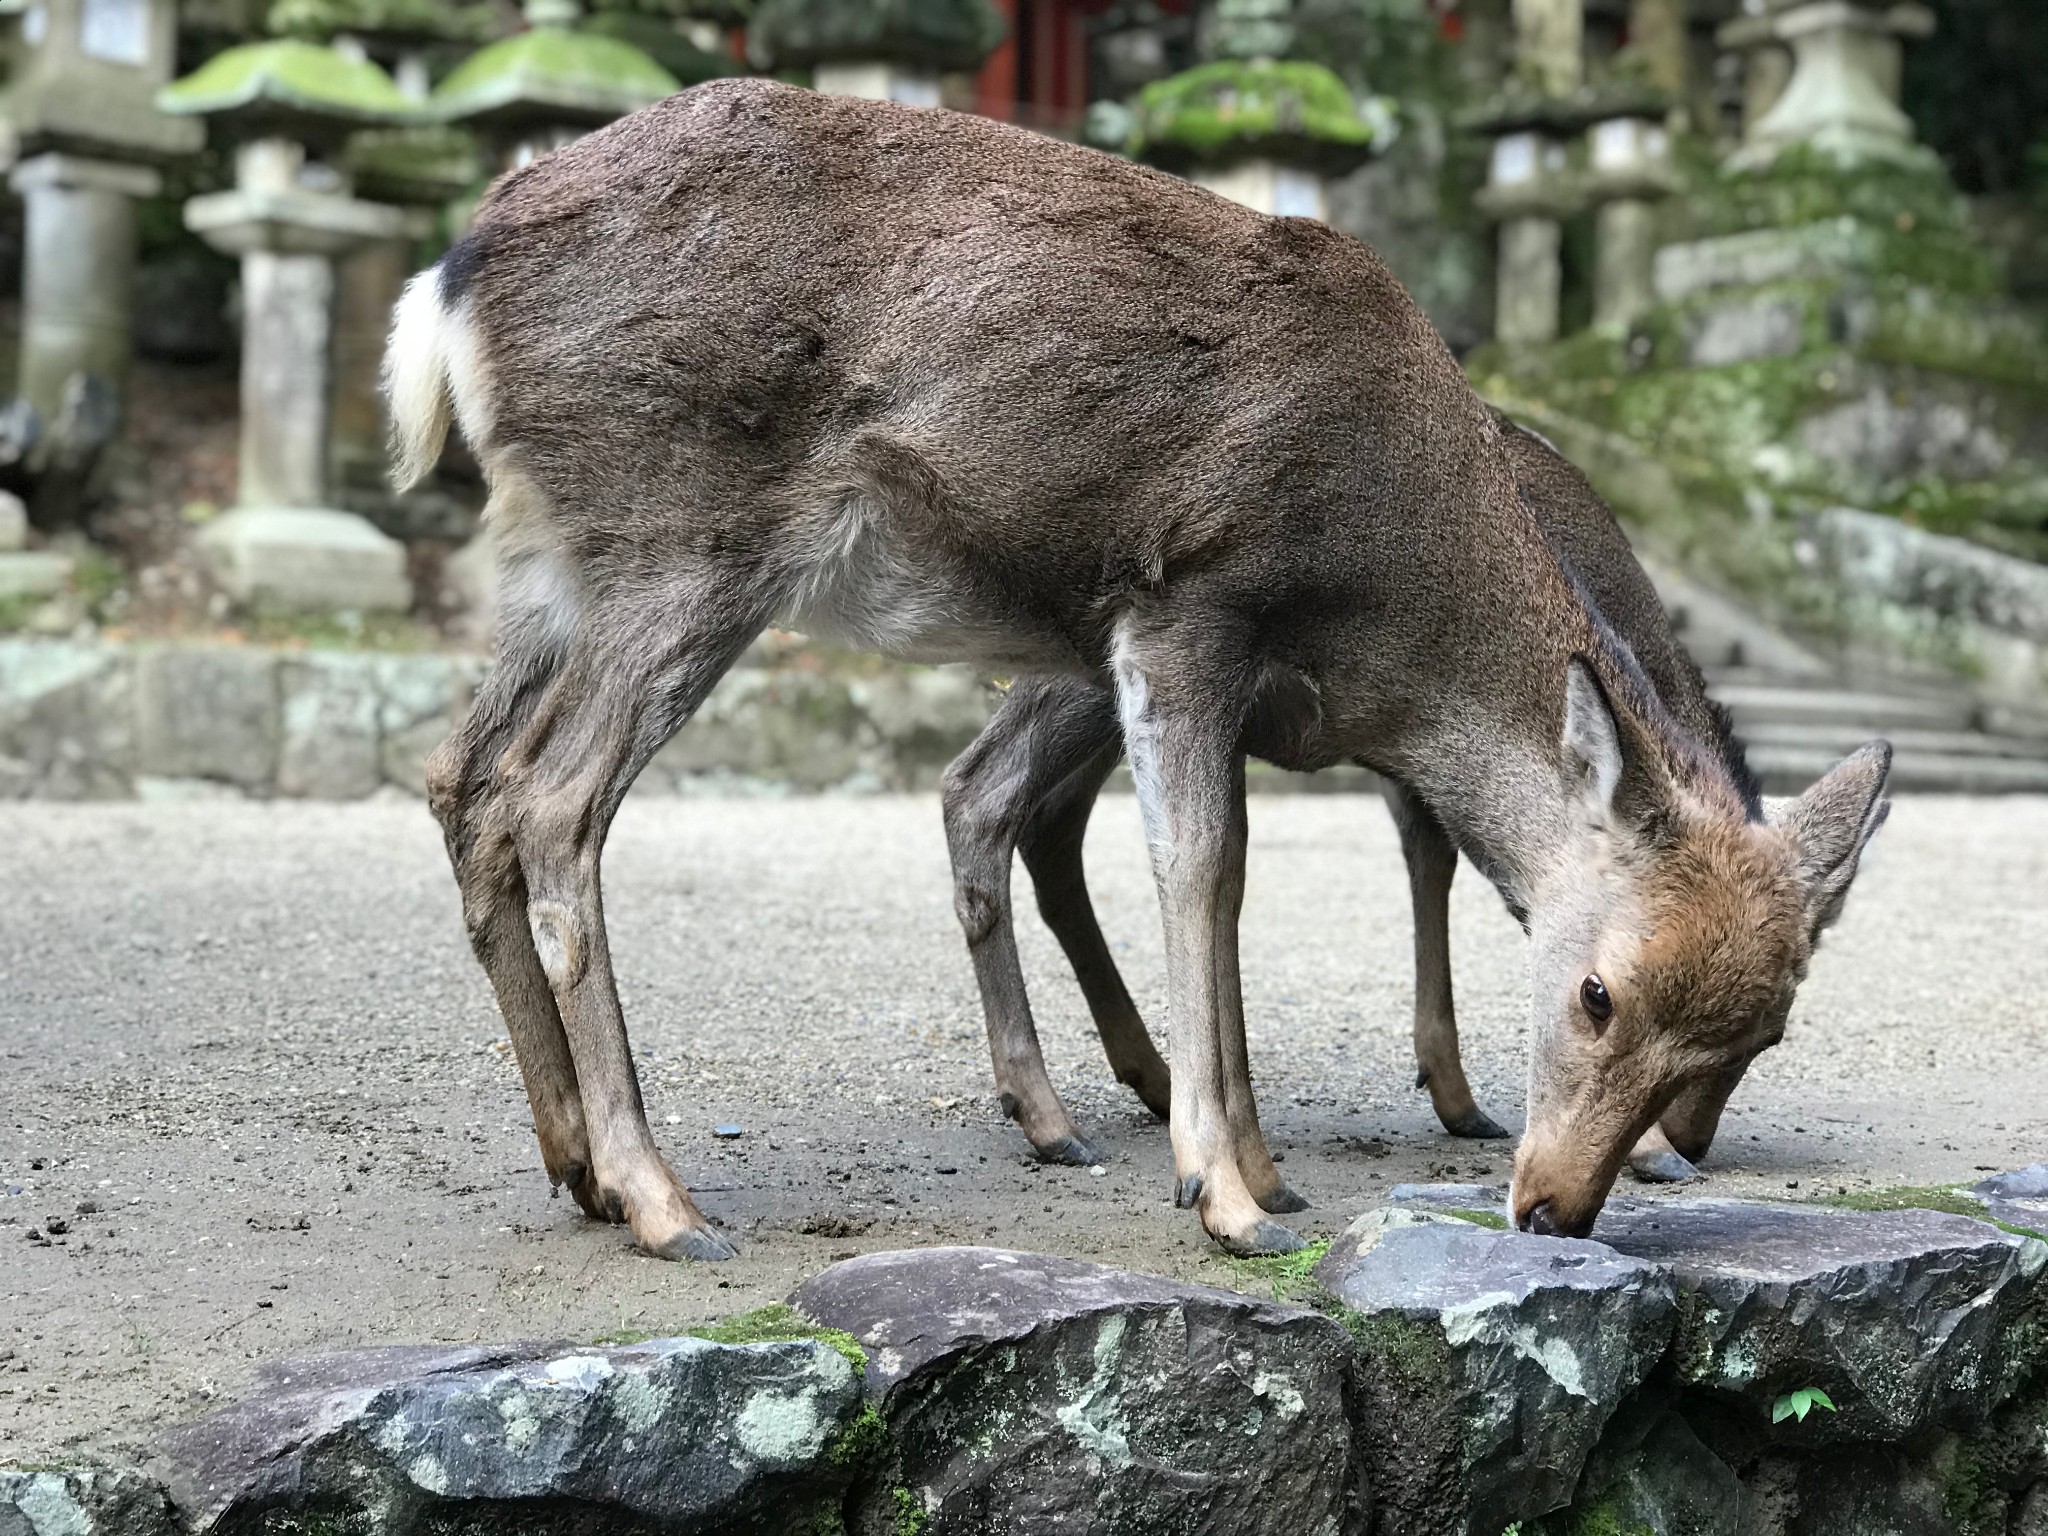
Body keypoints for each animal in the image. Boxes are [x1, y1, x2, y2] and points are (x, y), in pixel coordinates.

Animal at [385, 78, 1884, 1261]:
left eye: (1763, 1033)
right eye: (1595, 993)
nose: (1559, 1207)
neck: (1389, 611)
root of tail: (444, 288)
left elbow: (1240, 875)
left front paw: (1262, 1171)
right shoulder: (1185, 605)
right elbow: (1207, 870)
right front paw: (1225, 1188)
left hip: (554, 573)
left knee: (465, 776)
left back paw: (578, 1165)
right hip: (679, 540)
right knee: (557, 804)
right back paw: (663, 1198)